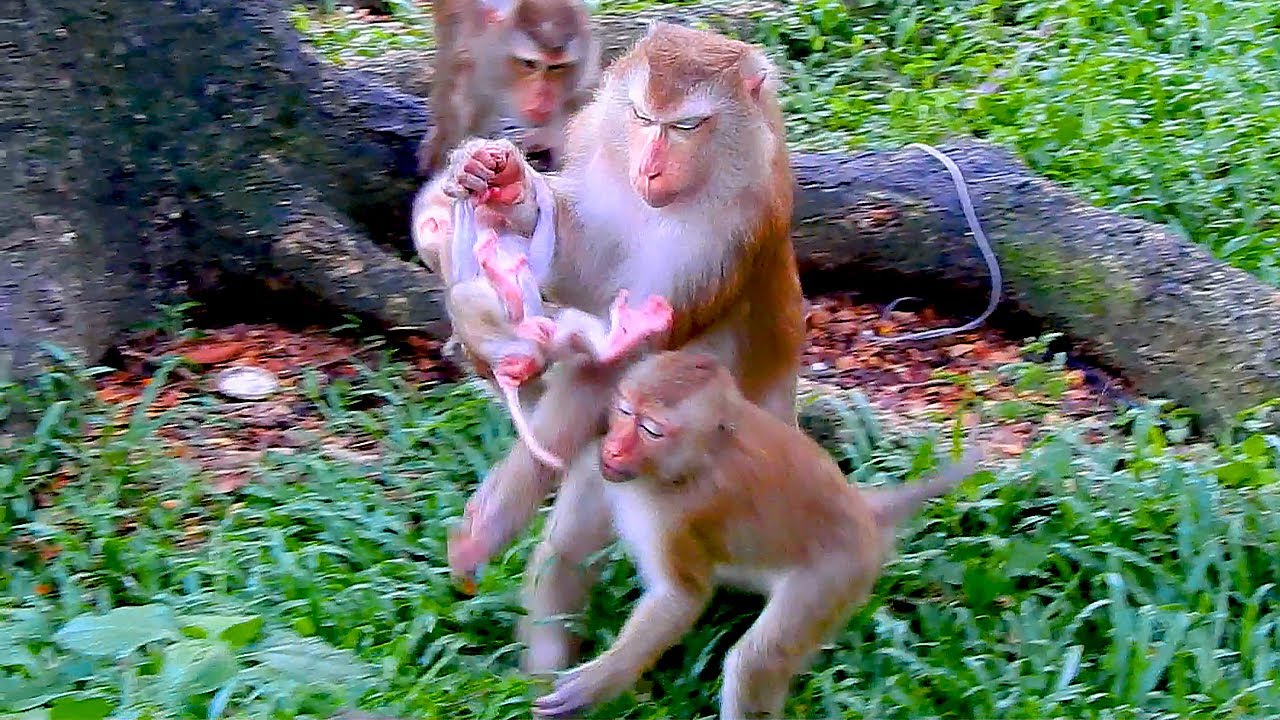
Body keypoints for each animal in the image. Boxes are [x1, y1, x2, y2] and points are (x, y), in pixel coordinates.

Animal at [410, 23, 806, 672]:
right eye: (643, 116)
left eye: (686, 126)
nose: (649, 166)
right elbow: (579, 261)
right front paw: (505, 185)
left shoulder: (729, 236)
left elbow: (616, 366)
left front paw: (484, 530)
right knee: (565, 549)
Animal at [529, 351, 984, 719]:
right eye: (624, 411)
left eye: (652, 429)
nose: (616, 448)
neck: (686, 466)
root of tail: (863, 511)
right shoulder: (597, 464)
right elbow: (564, 555)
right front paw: (540, 669)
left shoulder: (680, 515)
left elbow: (681, 598)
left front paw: (598, 682)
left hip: (837, 572)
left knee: (756, 663)